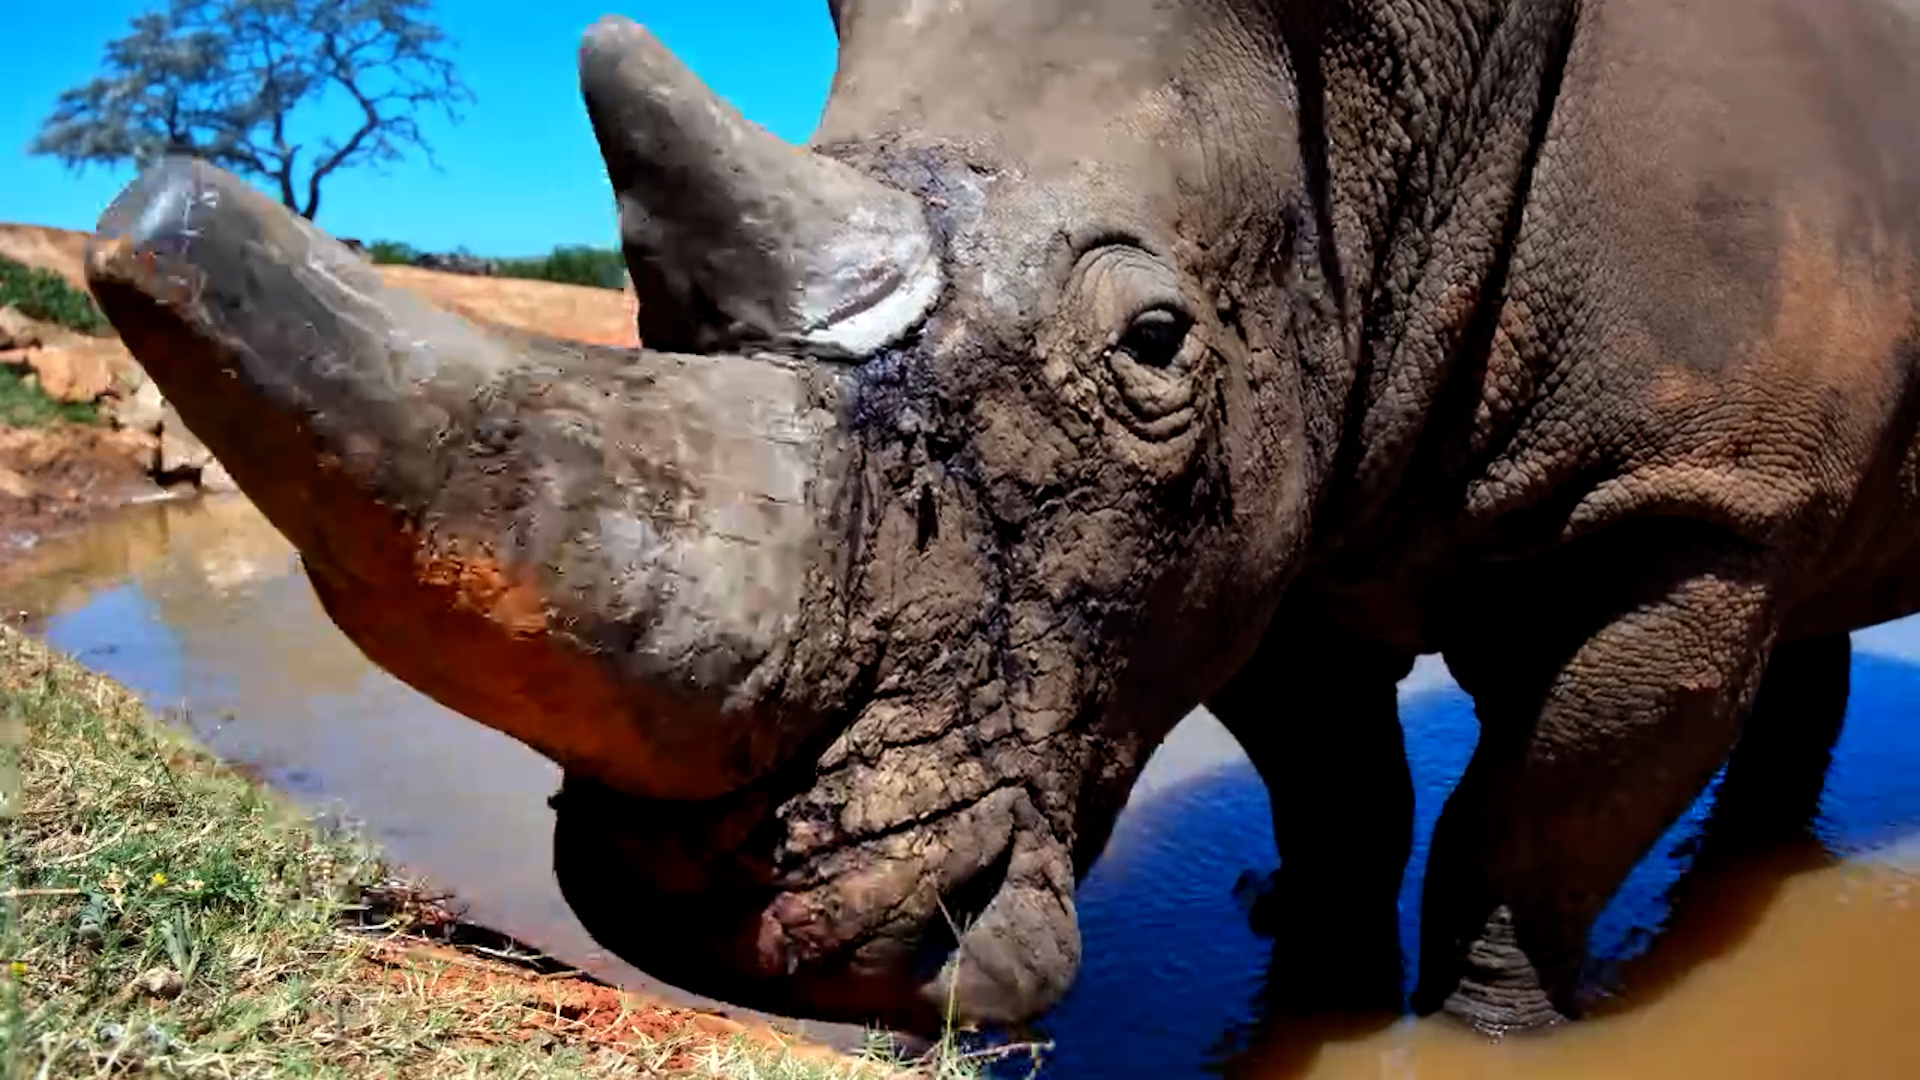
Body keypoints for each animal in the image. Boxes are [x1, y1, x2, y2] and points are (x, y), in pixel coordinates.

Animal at [82, 0, 1920, 1041]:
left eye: (1156, 342)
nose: (714, 933)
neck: (1397, 111)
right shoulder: (1283, 493)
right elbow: (1338, 780)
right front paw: (1312, 977)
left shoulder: (1688, 501)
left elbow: (1537, 816)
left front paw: (1482, 1031)